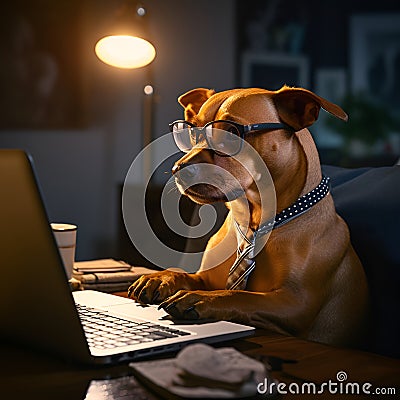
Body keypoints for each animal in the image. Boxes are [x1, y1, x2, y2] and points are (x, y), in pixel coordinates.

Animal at [128, 86, 368, 346]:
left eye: (232, 132)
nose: (177, 170)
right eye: (191, 131)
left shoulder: (295, 304)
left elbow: (241, 296)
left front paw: (200, 298)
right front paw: (160, 278)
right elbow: (186, 275)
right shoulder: (206, 278)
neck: (255, 221)